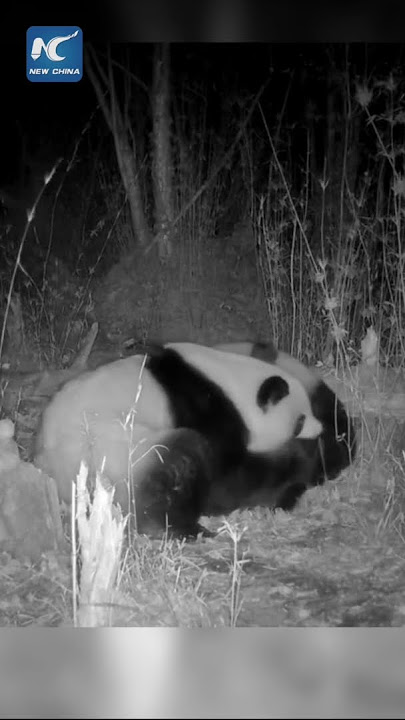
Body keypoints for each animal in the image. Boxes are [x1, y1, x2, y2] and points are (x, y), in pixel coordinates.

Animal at [33, 342, 322, 539]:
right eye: (299, 420)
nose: (319, 429)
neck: (233, 385)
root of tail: (49, 467)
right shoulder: (208, 412)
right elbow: (228, 478)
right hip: (111, 446)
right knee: (175, 461)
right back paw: (182, 528)